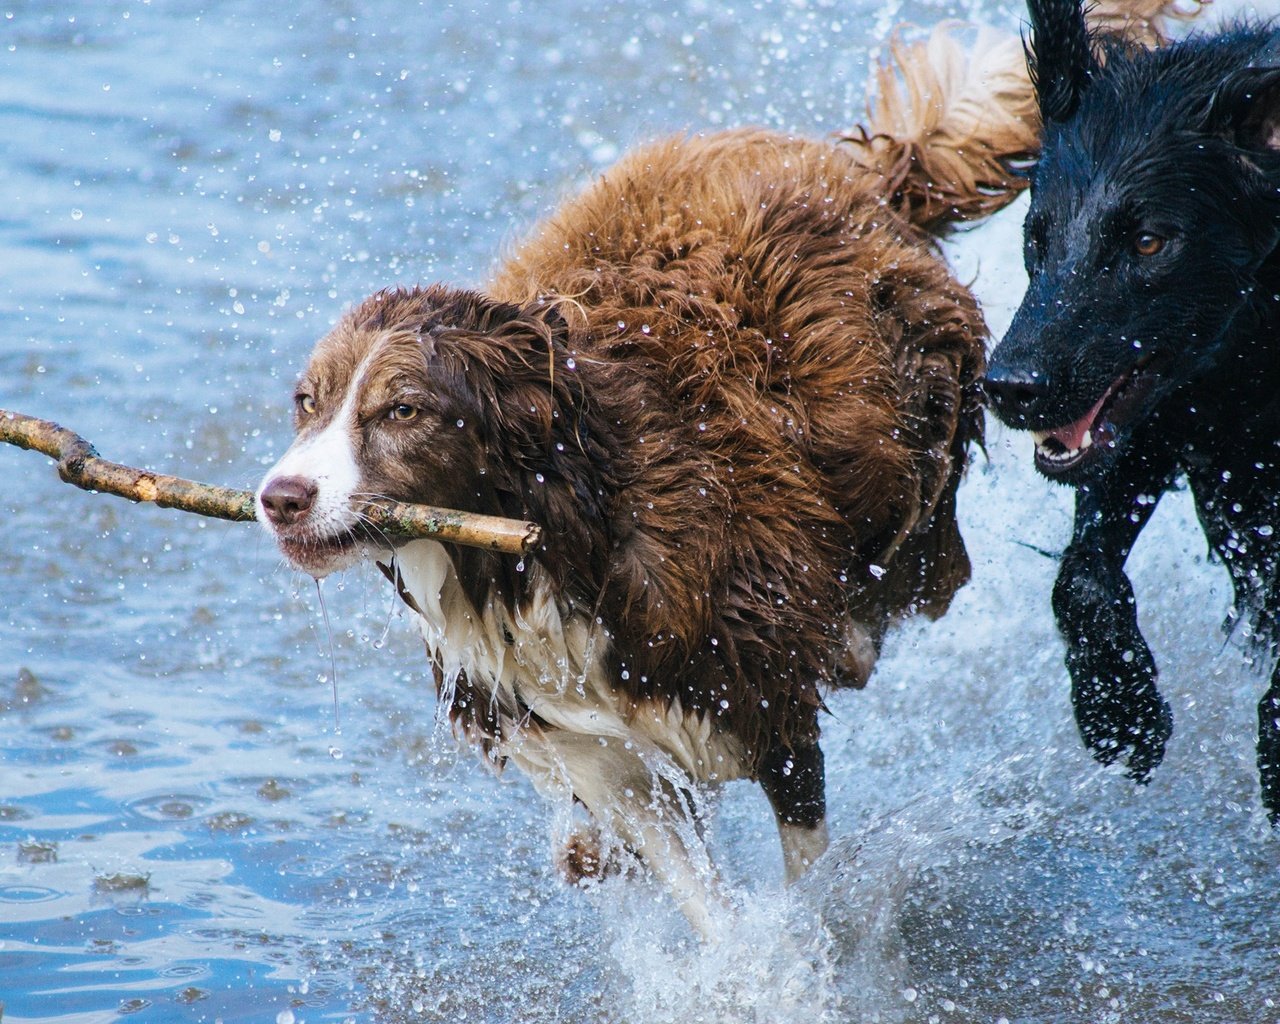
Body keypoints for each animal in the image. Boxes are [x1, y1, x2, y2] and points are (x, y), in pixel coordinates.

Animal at [983, 0, 1274, 814]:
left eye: (1147, 241)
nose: (1011, 386)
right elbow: (1080, 577)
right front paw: (1119, 710)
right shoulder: (1155, 423)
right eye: (1037, 235)